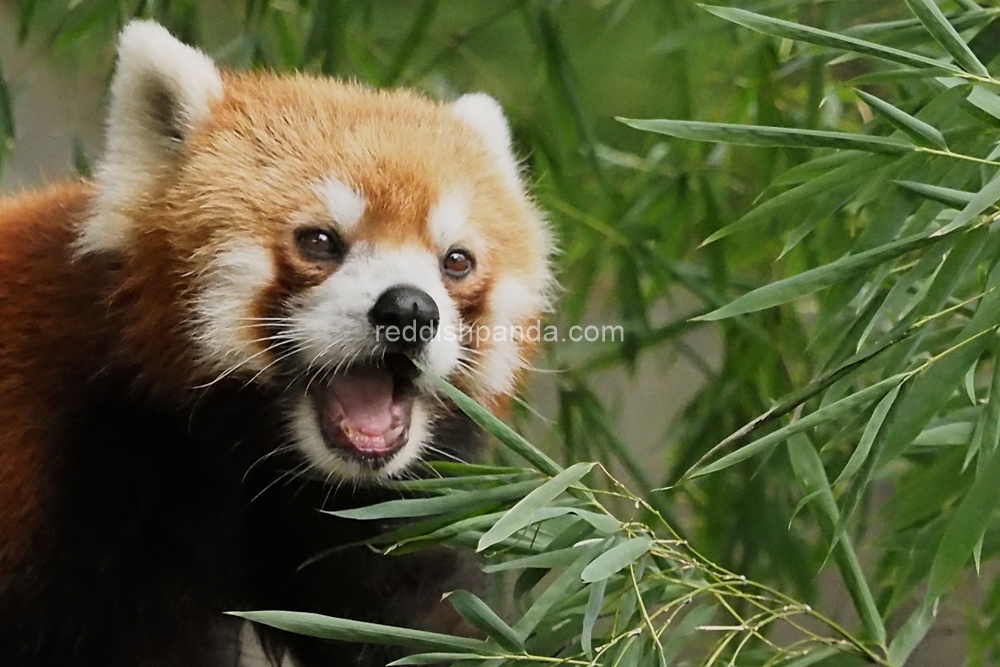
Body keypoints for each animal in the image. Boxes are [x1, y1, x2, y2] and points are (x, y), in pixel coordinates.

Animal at [0, 20, 552, 667]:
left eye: (456, 261)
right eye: (320, 241)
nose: (410, 310)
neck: (256, 456)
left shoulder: (379, 513)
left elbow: (420, 624)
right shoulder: (100, 488)